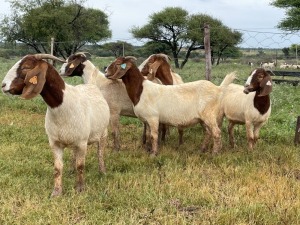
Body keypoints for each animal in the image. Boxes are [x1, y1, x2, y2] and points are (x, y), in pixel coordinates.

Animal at [1, 53, 109, 196]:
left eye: (26, 67)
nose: (3, 85)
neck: (63, 105)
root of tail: (91, 85)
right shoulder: (55, 143)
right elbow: (58, 168)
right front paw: (56, 192)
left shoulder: (82, 142)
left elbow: (81, 166)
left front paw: (80, 189)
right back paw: (71, 170)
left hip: (103, 133)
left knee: (100, 152)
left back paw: (102, 171)